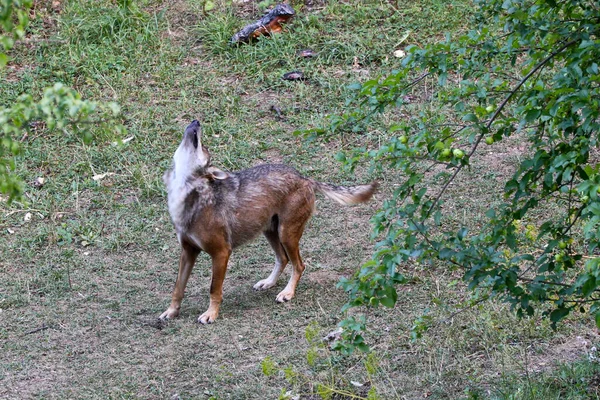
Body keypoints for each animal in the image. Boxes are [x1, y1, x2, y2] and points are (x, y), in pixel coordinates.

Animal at [159, 120, 376, 324]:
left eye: (203, 148)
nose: (196, 121)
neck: (187, 194)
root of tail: (304, 178)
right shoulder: (188, 251)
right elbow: (178, 288)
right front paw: (171, 312)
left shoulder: (221, 253)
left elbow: (214, 289)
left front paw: (211, 314)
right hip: (271, 232)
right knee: (283, 259)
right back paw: (268, 283)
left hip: (286, 235)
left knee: (299, 265)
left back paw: (287, 293)